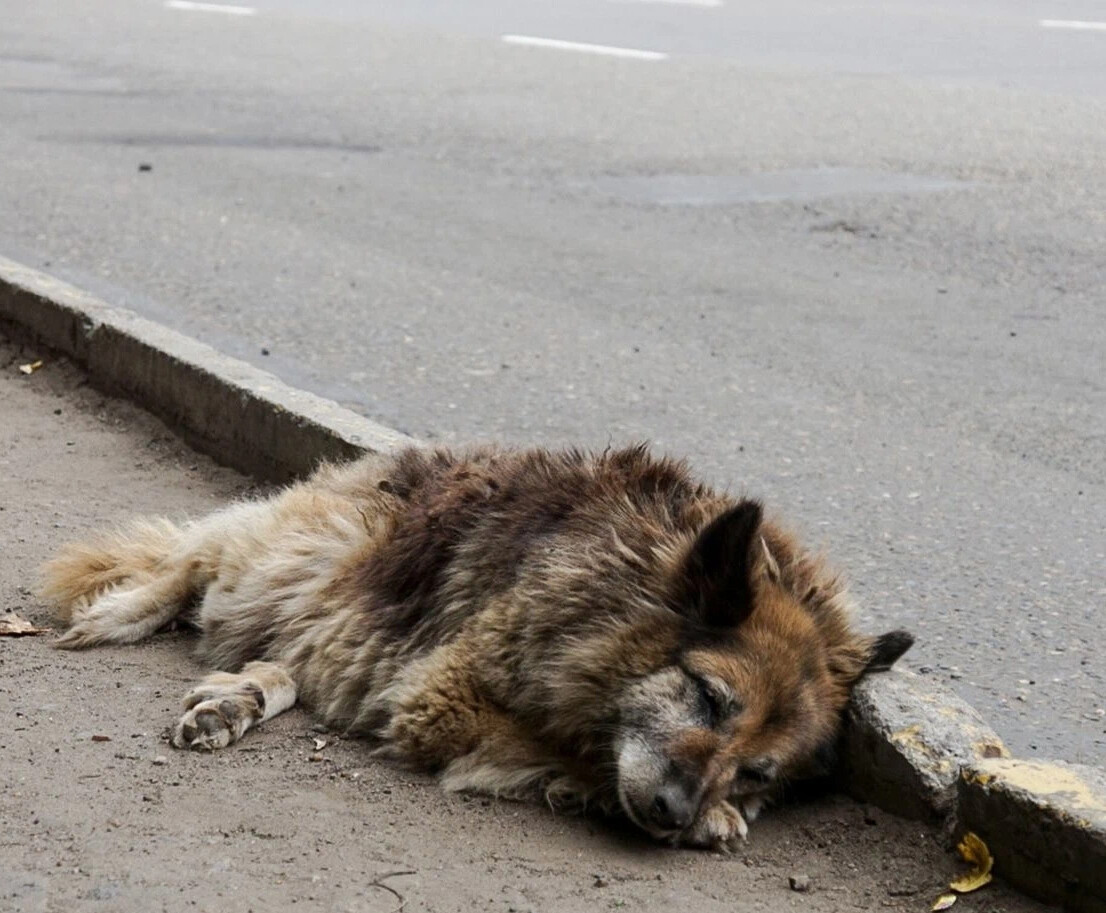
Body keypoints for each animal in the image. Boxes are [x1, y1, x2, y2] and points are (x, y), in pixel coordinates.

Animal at [40, 442, 906, 849]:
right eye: (709, 696)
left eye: (761, 767)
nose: (672, 813)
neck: (613, 590)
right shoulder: (444, 695)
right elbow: (575, 754)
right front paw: (702, 816)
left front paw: (723, 808)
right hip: (301, 555)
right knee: (195, 558)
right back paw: (125, 608)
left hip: (344, 628)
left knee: (292, 660)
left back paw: (238, 697)